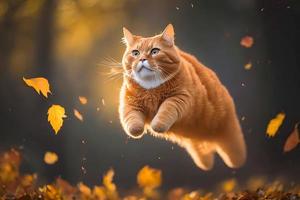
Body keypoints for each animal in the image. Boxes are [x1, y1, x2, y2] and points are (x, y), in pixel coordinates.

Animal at [118, 23, 247, 170]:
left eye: (154, 51)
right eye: (135, 53)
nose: (142, 59)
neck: (151, 89)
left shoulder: (179, 98)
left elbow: (165, 110)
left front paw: (156, 125)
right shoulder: (129, 103)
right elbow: (132, 121)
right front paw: (138, 130)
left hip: (230, 136)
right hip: (197, 149)